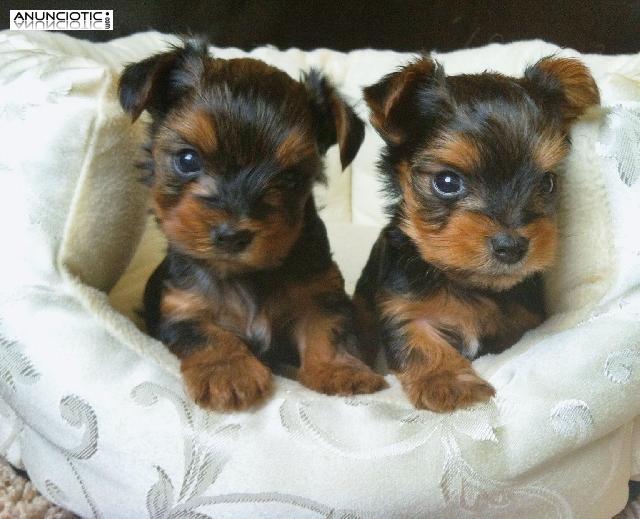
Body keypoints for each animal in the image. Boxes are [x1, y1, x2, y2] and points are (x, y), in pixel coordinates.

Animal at [120, 38, 390, 412]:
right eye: (187, 160)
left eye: (290, 178)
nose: (232, 235)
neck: (245, 274)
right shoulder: (181, 308)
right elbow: (208, 335)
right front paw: (228, 374)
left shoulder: (319, 293)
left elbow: (327, 328)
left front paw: (341, 370)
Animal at [356, 55, 600, 414]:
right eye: (446, 182)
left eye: (547, 182)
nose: (511, 246)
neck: (465, 282)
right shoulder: (402, 304)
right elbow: (419, 339)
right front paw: (448, 384)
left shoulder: (521, 320)